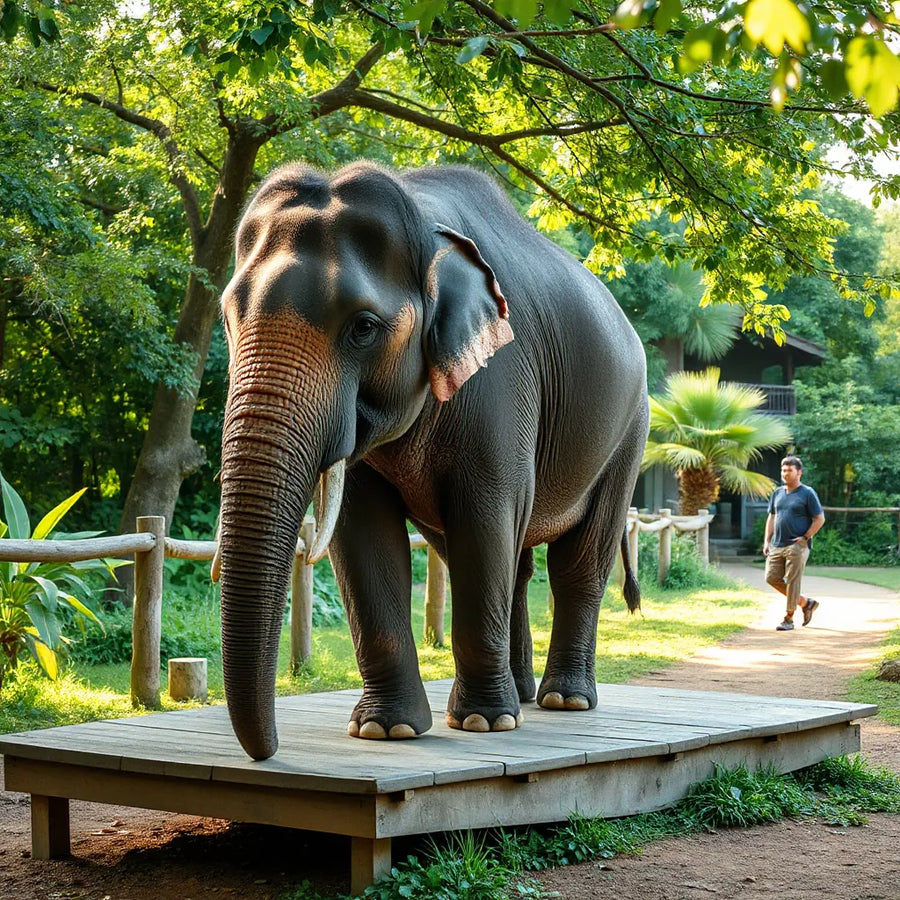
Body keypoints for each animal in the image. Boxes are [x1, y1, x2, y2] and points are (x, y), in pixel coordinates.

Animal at [215, 160, 649, 761]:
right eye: (227, 318)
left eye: (364, 327)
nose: (268, 751)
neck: (423, 223)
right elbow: (362, 533)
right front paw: (385, 729)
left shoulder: (501, 381)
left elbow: (484, 519)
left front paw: (482, 723)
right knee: (513, 566)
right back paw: (523, 696)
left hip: (629, 429)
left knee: (577, 560)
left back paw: (563, 701)